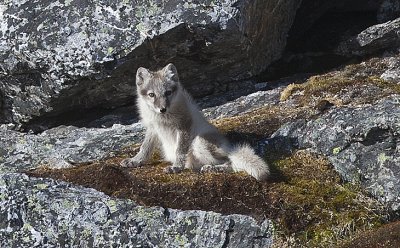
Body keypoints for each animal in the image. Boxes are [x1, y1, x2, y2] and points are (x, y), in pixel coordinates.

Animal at [120, 63, 270, 181]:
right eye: (151, 95)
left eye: (168, 93)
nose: (162, 109)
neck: (162, 119)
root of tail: (230, 147)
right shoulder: (152, 128)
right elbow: (144, 148)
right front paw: (135, 161)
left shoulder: (185, 125)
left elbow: (180, 151)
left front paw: (176, 167)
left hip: (199, 142)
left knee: (231, 162)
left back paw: (213, 169)